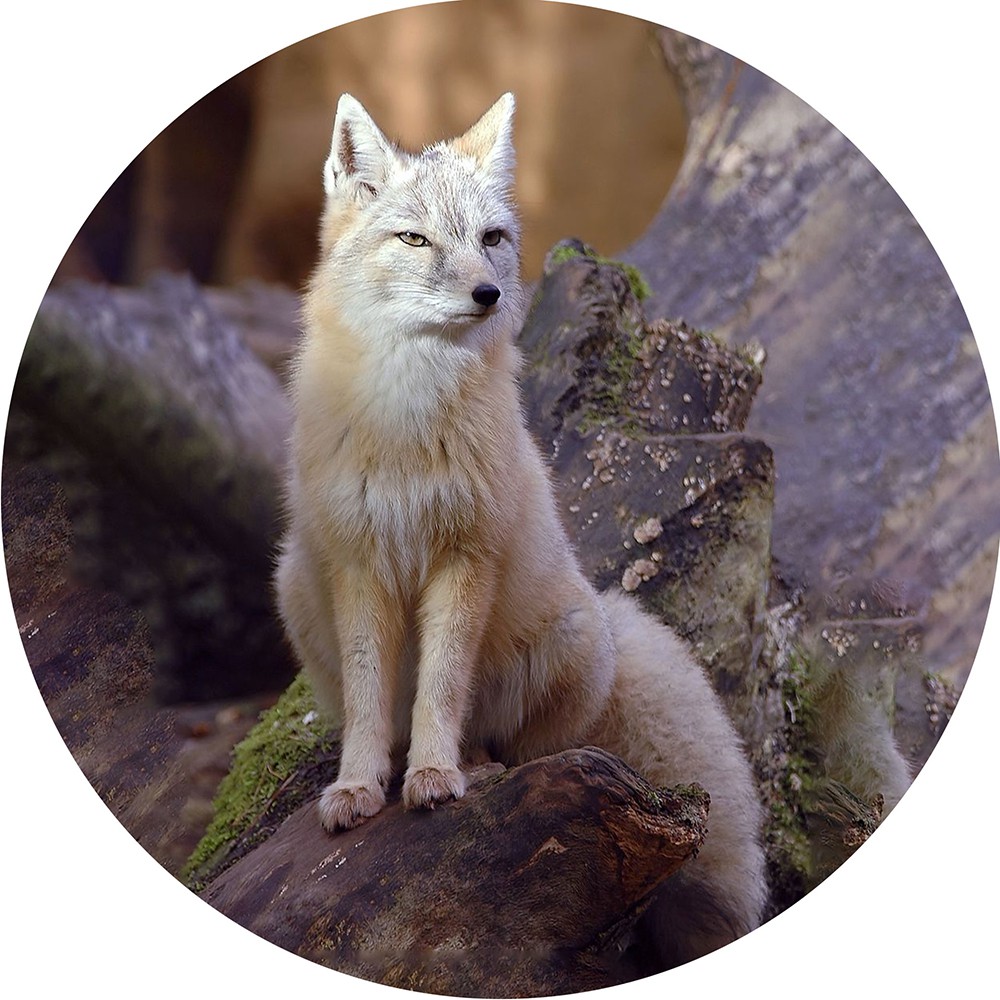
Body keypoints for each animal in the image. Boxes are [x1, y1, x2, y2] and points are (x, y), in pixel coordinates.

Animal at [274, 92, 768, 969]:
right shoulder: (358, 563)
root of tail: (611, 613)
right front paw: (359, 787)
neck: (406, 420)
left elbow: (442, 683)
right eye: (415, 239)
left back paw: (469, 760)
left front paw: (436, 776)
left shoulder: (464, 557)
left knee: (516, 750)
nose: (486, 295)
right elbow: (369, 699)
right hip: (295, 584)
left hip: (571, 640)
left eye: (492, 240)